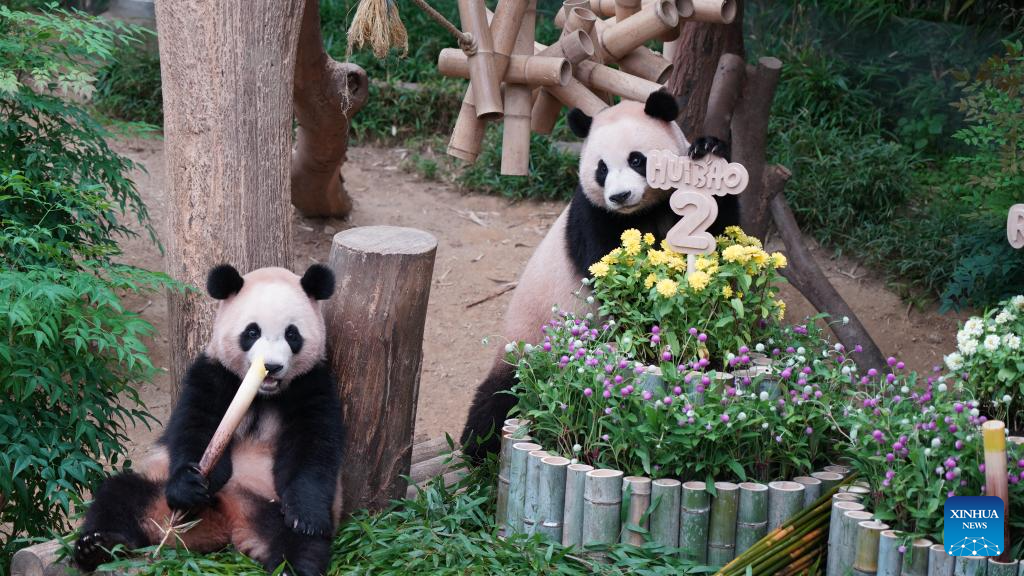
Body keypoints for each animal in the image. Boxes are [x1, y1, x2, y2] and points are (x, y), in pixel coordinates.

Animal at [74, 264, 343, 576]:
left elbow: (314, 446)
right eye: (252, 332)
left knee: (299, 541)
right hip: (157, 485)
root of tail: (227, 520)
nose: (271, 367)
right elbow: (196, 426)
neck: (263, 395)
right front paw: (190, 485)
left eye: (292, 334)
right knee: (119, 495)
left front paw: (306, 517)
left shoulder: (313, 384)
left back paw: (290, 567)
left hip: (268, 504)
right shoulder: (213, 373)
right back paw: (96, 546)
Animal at [460, 90, 736, 460]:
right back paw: (477, 452)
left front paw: (708, 148)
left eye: (637, 160)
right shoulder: (591, 215)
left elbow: (720, 234)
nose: (620, 196)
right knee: (499, 398)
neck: (641, 210)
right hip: (526, 344)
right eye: (601, 169)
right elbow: (604, 266)